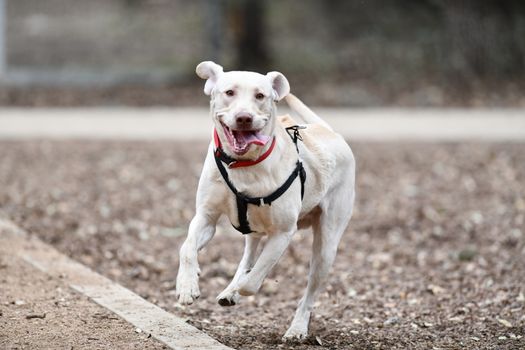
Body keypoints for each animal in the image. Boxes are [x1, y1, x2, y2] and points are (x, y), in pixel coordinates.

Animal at [177, 60, 356, 342]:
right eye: (229, 92)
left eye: (260, 96)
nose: (244, 118)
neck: (244, 164)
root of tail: (330, 132)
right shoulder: (205, 217)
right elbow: (187, 249)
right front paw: (187, 285)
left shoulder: (283, 233)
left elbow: (256, 278)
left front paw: (240, 289)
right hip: (254, 229)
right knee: (248, 255)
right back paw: (229, 289)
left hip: (327, 246)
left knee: (308, 291)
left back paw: (296, 327)